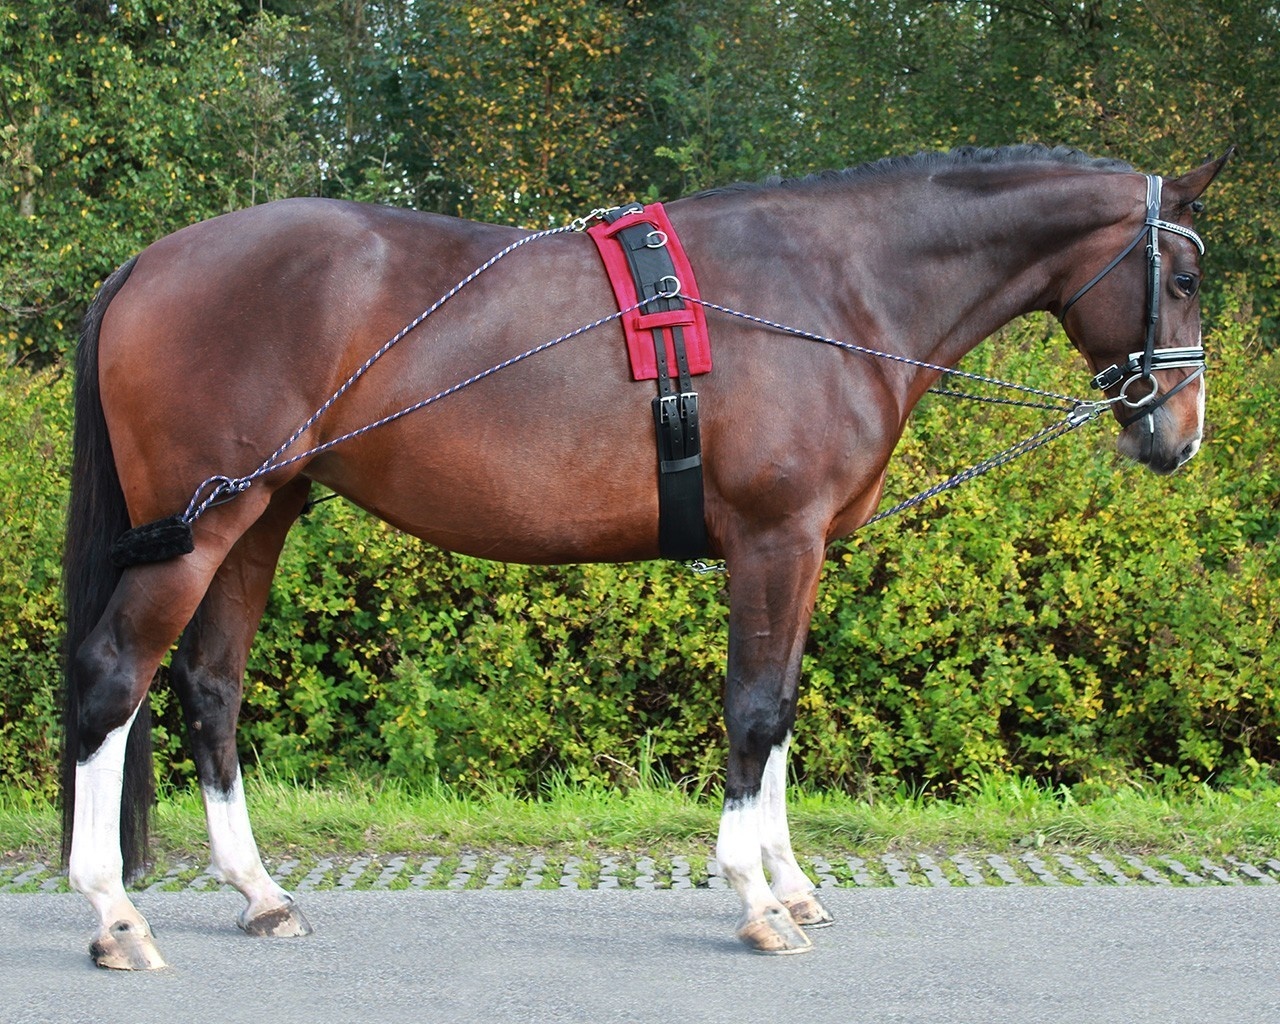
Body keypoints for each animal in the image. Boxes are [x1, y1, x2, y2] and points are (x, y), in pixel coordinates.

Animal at [60, 144, 1228, 968]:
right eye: (1179, 274)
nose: (1177, 435)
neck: (834, 286)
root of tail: (150, 260)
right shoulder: (773, 539)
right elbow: (752, 711)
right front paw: (756, 899)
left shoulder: (798, 551)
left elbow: (781, 711)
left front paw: (790, 881)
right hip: (206, 525)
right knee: (114, 676)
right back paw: (114, 915)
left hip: (262, 516)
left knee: (209, 687)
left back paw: (258, 894)